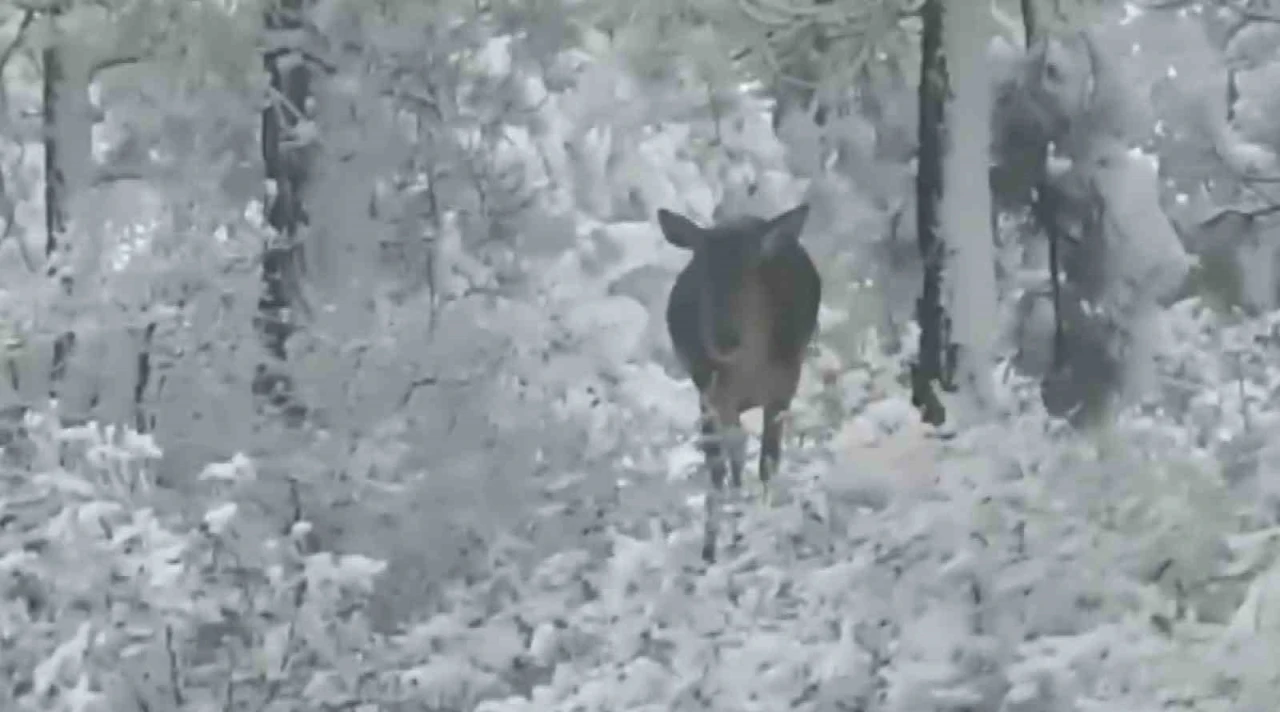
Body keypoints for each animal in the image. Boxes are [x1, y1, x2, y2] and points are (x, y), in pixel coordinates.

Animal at [655, 201, 824, 560]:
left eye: (751, 272)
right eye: (703, 273)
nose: (725, 338)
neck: (749, 370)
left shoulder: (784, 387)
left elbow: (768, 462)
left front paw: (764, 526)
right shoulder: (709, 393)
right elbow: (719, 467)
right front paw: (711, 550)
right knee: (731, 459)